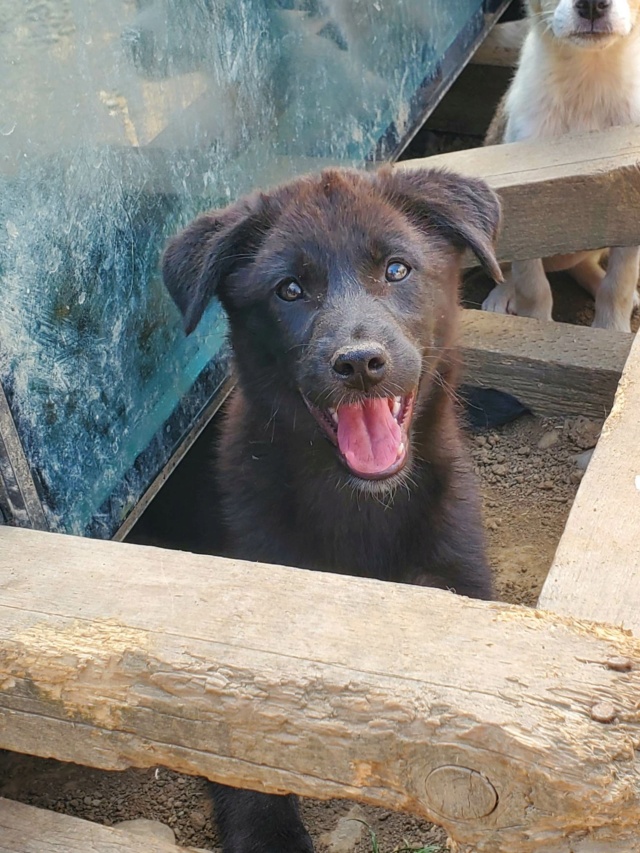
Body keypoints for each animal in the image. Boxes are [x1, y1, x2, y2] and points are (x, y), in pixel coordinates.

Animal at [162, 166, 502, 852]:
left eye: (397, 269)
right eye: (290, 290)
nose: (360, 363)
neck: (359, 507)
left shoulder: (463, 574)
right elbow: (231, 740)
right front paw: (270, 835)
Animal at [482, 0, 640, 332]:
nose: (592, 5)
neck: (589, 78)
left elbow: (619, 281)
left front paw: (611, 330)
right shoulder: (523, 203)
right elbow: (533, 287)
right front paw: (538, 324)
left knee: (584, 265)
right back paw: (501, 296)